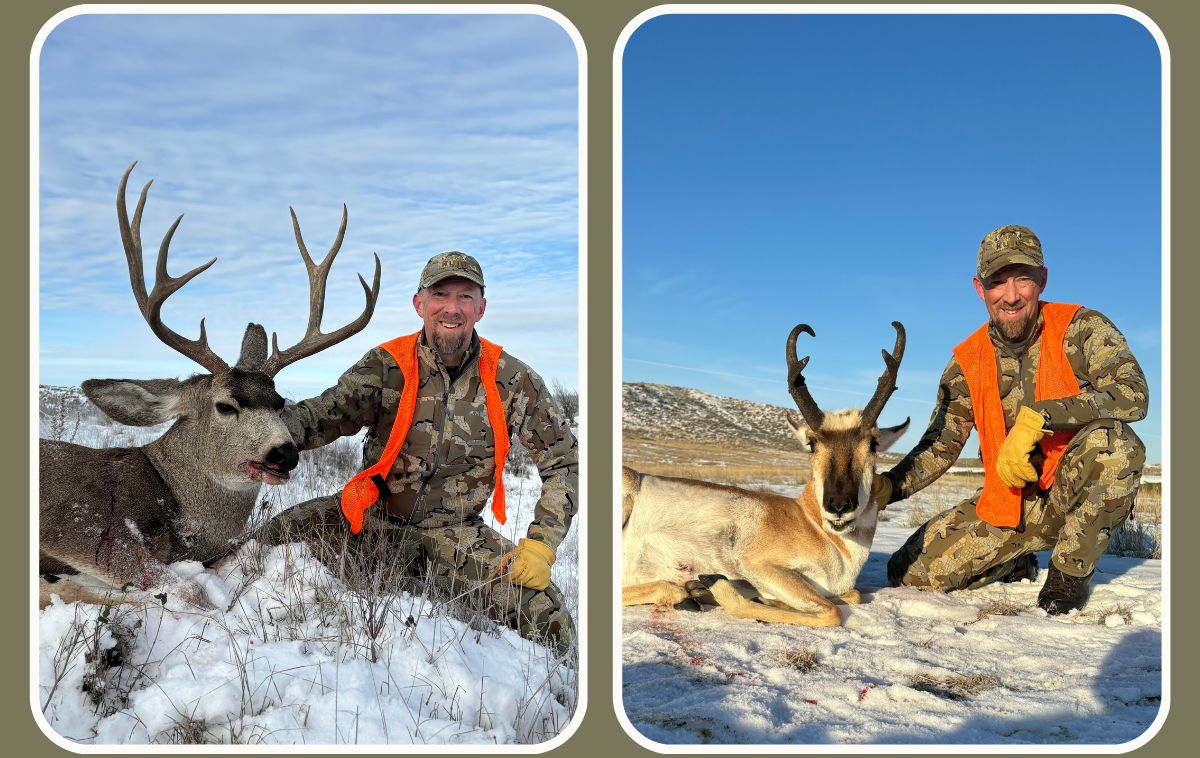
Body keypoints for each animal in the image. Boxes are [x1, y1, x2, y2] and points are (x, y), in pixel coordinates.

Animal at [621, 322, 909, 626]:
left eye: (873, 444)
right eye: (812, 443)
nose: (839, 505)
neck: (809, 521)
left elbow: (850, 596)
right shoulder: (758, 564)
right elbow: (830, 612)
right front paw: (716, 588)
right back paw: (687, 592)